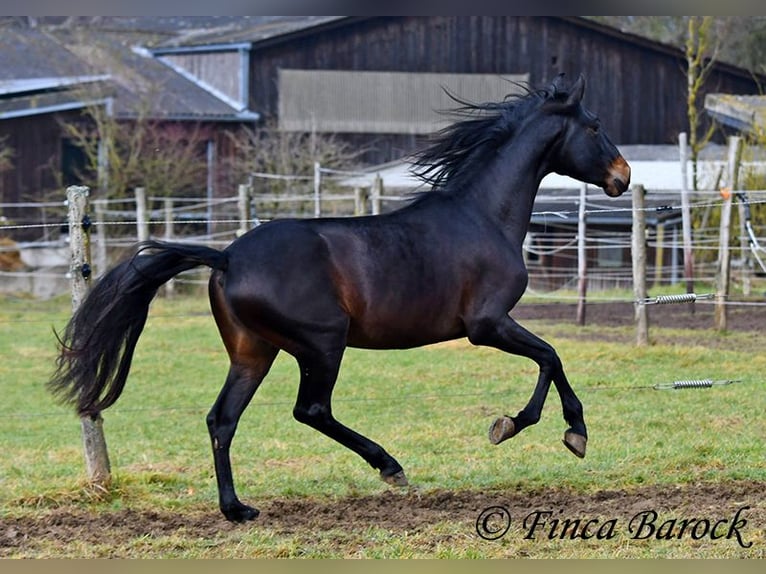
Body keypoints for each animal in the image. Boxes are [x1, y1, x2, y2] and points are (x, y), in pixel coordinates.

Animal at [51, 74, 632, 524]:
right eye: (595, 125)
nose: (622, 177)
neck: (484, 215)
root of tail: (227, 258)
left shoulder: (492, 326)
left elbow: (550, 357)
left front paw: (548, 430)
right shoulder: (486, 324)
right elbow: (551, 356)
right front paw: (544, 430)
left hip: (253, 353)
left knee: (222, 419)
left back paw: (237, 509)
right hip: (323, 344)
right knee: (310, 409)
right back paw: (390, 467)